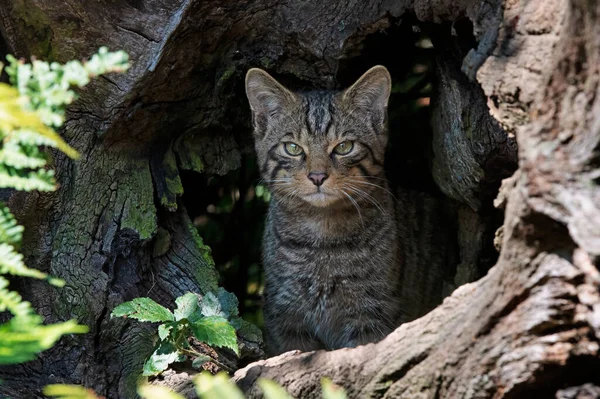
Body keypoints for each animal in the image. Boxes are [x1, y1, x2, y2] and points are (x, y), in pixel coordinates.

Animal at [243, 65, 450, 356]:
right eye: (292, 148)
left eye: (344, 147)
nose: (317, 176)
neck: (322, 236)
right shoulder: (285, 319)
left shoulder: (371, 314)